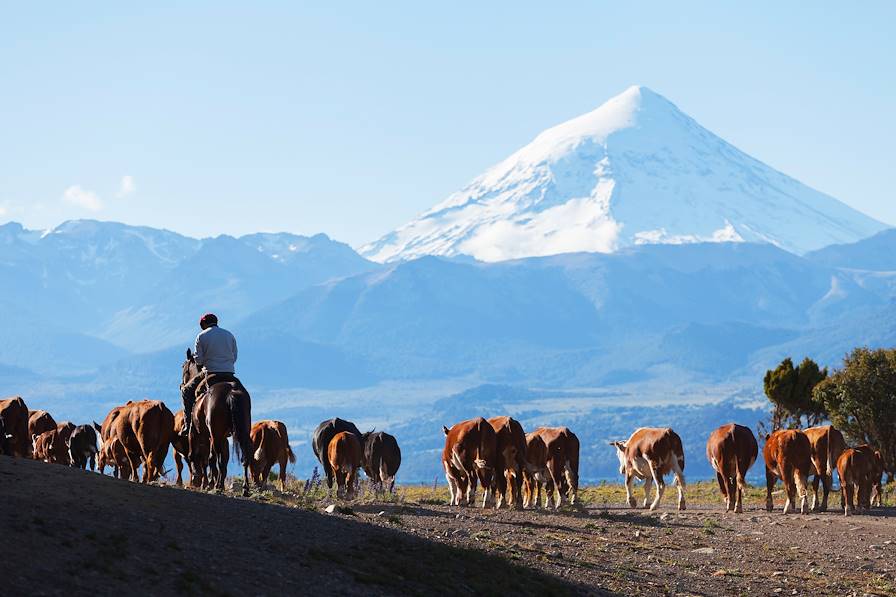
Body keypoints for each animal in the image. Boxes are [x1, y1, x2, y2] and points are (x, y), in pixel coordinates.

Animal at [181, 350, 252, 494]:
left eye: (184, 368)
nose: (181, 384)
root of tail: (231, 392)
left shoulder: (196, 433)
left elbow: (201, 457)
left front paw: (205, 483)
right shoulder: (223, 437)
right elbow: (222, 459)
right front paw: (212, 482)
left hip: (214, 434)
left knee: (214, 458)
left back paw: (217, 485)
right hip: (242, 432)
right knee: (243, 457)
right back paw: (245, 488)